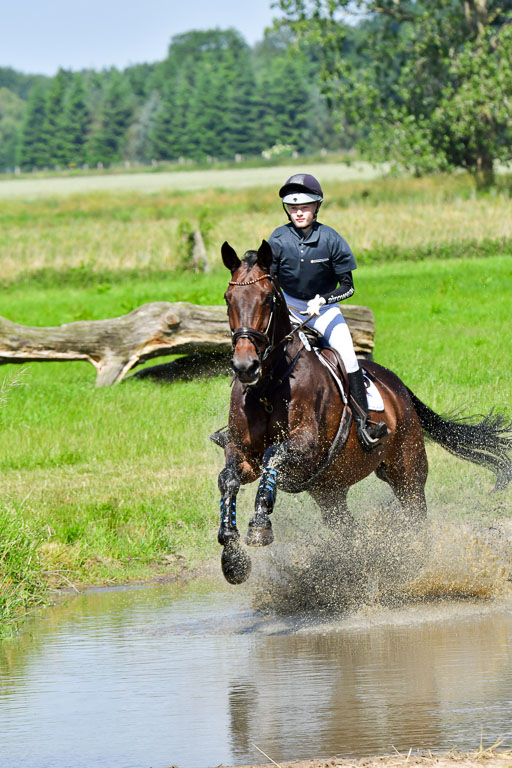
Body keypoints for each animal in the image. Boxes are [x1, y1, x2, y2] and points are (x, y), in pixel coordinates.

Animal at [215, 240, 512, 584]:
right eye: (228, 298)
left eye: (267, 299)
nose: (244, 366)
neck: (269, 384)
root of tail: (397, 385)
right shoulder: (242, 453)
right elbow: (228, 479)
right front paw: (232, 556)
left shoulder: (306, 447)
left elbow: (272, 456)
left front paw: (260, 526)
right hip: (329, 490)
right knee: (349, 530)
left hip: (407, 470)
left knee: (417, 518)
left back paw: (415, 569)